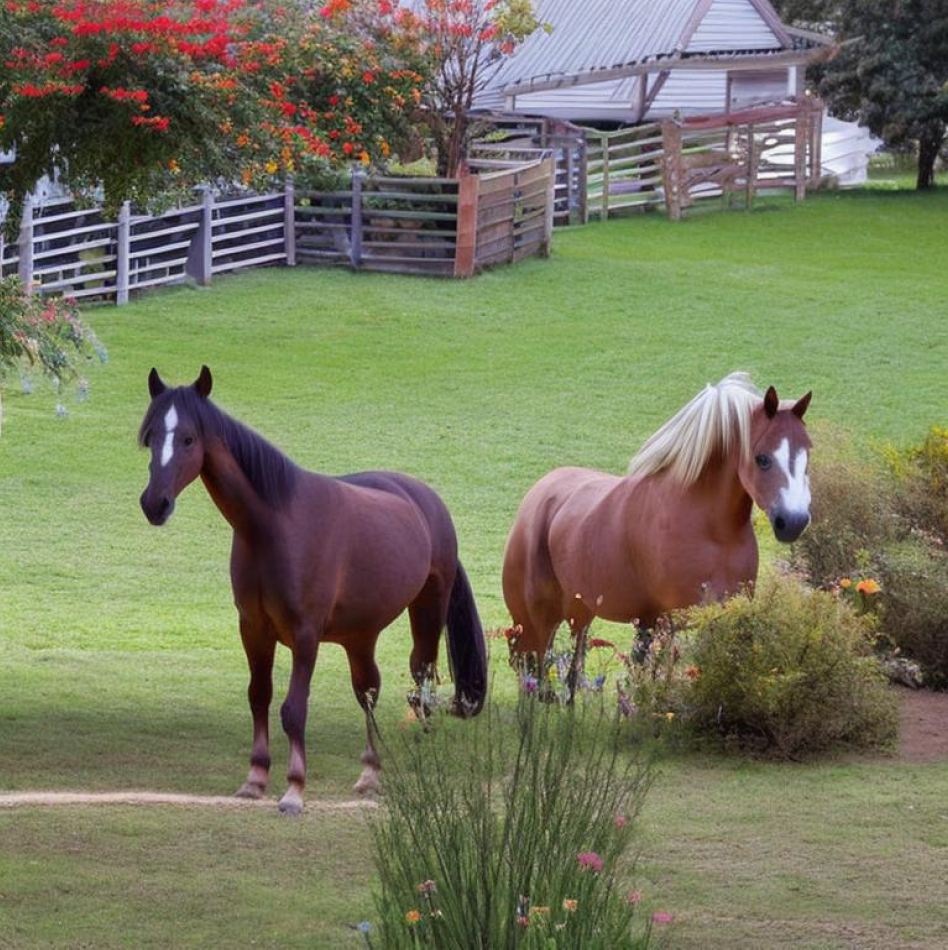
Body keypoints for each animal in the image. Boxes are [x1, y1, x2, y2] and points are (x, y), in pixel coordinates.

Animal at [138, 366, 487, 815]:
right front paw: (255, 778)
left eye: (188, 439)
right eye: (151, 437)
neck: (275, 525)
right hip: (360, 635)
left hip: (428, 609)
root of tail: (428, 501)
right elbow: (259, 696)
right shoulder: (253, 630)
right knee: (368, 690)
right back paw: (370, 773)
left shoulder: (305, 635)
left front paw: (294, 789)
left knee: (421, 681)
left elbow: (293, 710)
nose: (155, 504)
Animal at [502, 373, 813, 660]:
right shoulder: (663, 618)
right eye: (762, 459)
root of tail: (539, 492)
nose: (793, 522)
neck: (714, 532)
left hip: (579, 613)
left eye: (807, 453)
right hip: (534, 621)